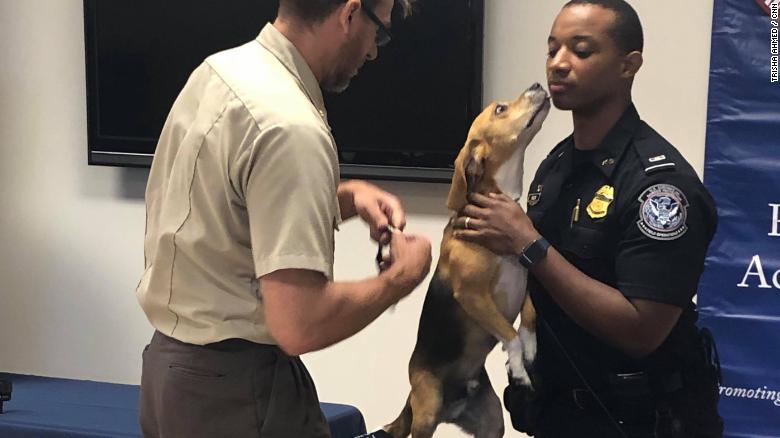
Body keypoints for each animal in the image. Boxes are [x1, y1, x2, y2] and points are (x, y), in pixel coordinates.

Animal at [386, 83, 552, 438]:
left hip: (492, 423)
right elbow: (510, 335)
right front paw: (519, 368)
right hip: (427, 411)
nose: (536, 85)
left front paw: (531, 347)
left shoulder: (528, 271)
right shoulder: (473, 294)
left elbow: (528, 316)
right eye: (500, 109)